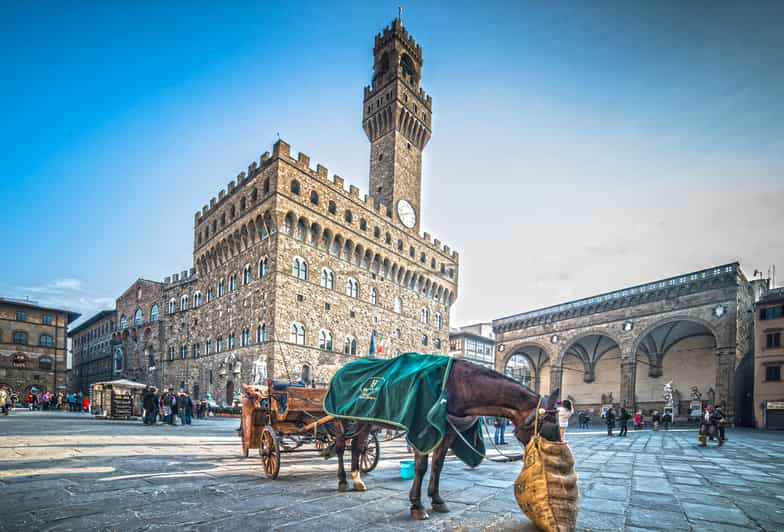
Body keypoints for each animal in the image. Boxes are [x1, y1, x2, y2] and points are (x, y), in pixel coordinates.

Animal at [334, 358, 560, 520]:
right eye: (548, 427)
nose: (555, 460)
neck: (460, 387)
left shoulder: (448, 434)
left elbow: (438, 465)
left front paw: (436, 499)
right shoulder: (422, 429)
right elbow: (421, 467)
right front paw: (417, 505)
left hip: (365, 421)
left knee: (358, 446)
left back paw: (357, 480)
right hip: (339, 420)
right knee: (340, 447)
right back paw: (343, 480)